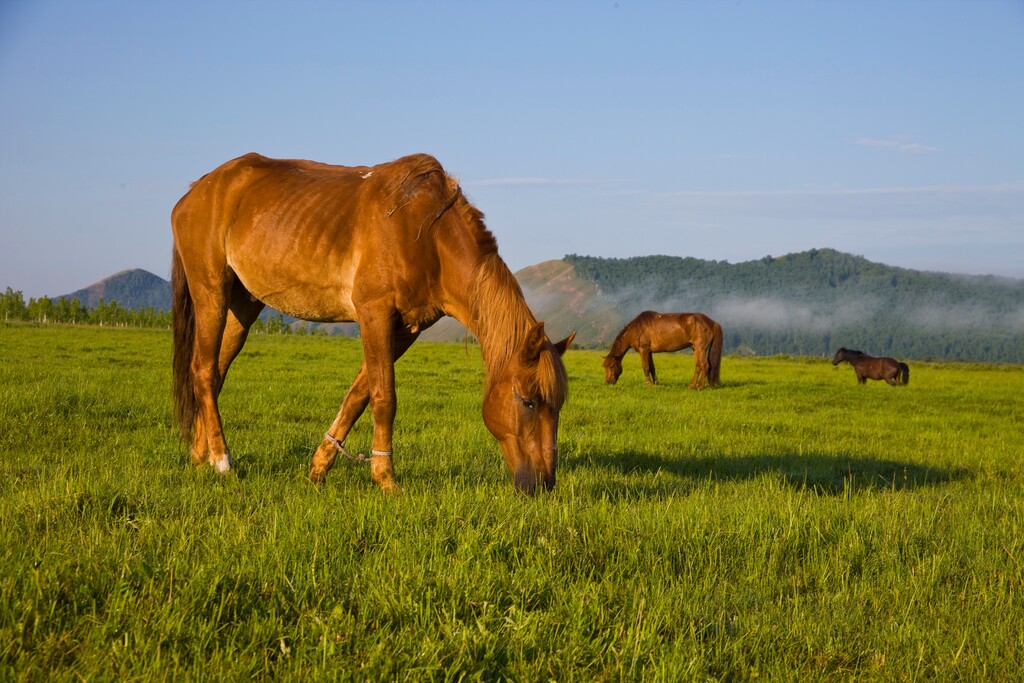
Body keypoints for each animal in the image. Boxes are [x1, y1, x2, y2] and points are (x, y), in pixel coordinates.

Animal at [171, 153, 573, 497]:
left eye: (558, 404)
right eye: (528, 401)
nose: (544, 484)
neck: (427, 234)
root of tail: (195, 191)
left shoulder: (407, 329)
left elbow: (357, 396)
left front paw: (319, 468)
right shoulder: (374, 315)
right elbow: (384, 398)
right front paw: (386, 479)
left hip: (243, 306)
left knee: (215, 373)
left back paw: (200, 456)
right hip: (211, 292)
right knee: (203, 370)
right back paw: (221, 459)